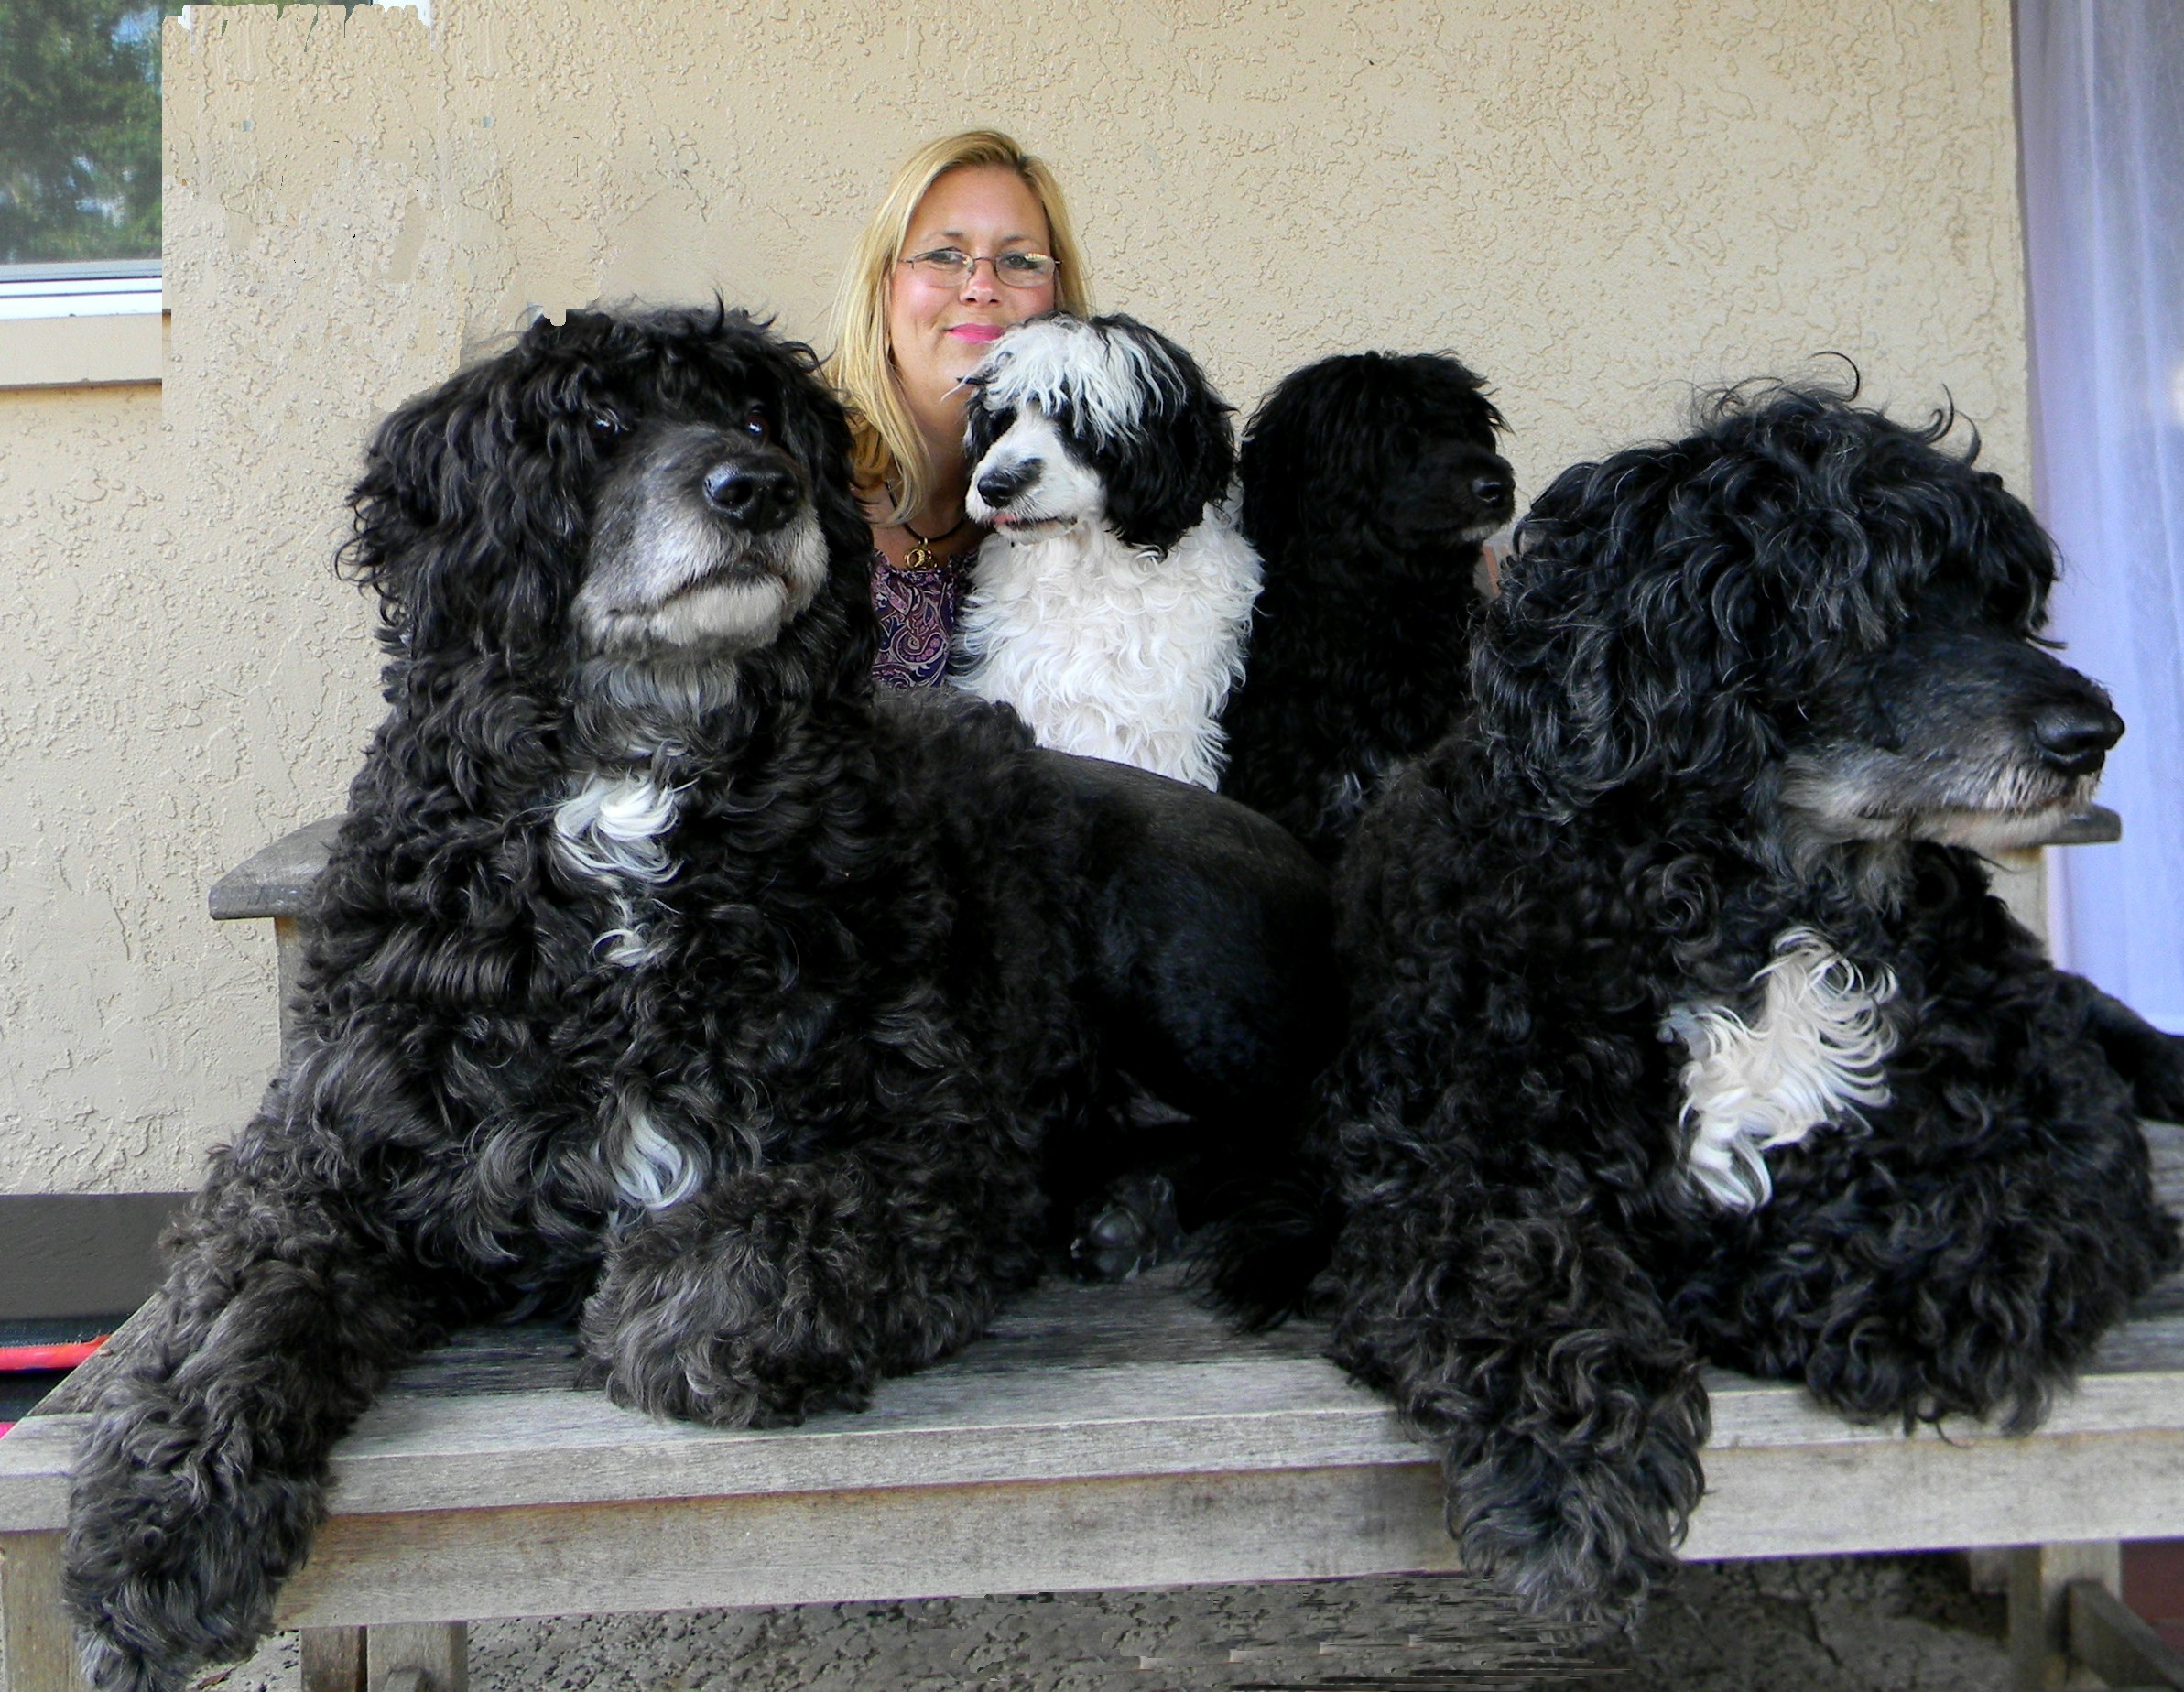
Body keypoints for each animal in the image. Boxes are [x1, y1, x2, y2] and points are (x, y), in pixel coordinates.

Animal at [1232, 390, 2184, 1632]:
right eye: (1865, 604)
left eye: (2002, 599)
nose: (2092, 735)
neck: (1759, 904)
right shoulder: (1430, 1160)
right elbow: (1524, 1266)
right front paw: (1575, 1490)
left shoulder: (2063, 1143)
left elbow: (1944, 1255)